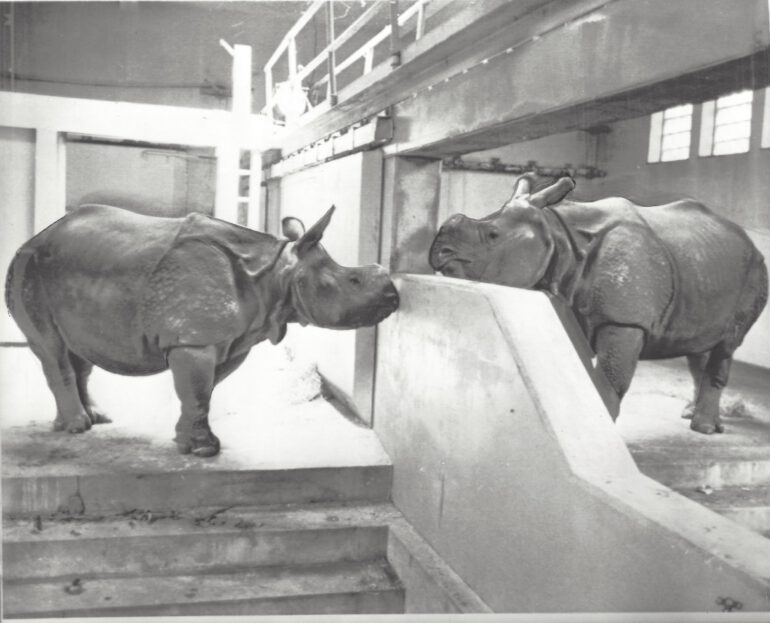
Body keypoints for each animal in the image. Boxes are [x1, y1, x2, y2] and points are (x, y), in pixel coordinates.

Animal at [6, 204, 399, 457]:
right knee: (51, 349)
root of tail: (34, 237)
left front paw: (184, 441)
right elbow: (196, 392)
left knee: (78, 350)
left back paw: (94, 420)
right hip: (28, 267)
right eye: (353, 281)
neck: (276, 274)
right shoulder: (194, 339)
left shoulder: (232, 341)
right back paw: (76, 427)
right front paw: (205, 450)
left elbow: (203, 393)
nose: (395, 296)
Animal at [429, 175, 768, 434]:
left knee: (727, 343)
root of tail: (747, 239)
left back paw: (704, 429)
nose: (438, 253)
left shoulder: (624, 321)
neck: (557, 234)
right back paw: (690, 415)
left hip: (755, 270)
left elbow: (610, 379)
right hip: (704, 267)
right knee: (699, 347)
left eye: (492, 234)